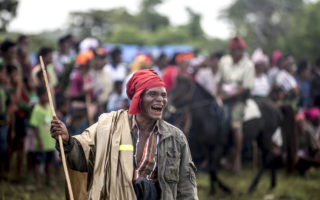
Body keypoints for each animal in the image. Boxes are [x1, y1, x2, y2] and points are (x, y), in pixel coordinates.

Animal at [165, 76, 296, 195]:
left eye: (180, 89)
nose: (166, 107)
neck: (209, 117)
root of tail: (276, 108)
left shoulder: (220, 147)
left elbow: (212, 169)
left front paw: (226, 189)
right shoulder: (207, 147)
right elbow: (211, 169)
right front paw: (213, 190)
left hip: (265, 137)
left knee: (268, 156)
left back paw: (253, 186)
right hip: (261, 138)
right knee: (271, 155)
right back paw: (272, 185)